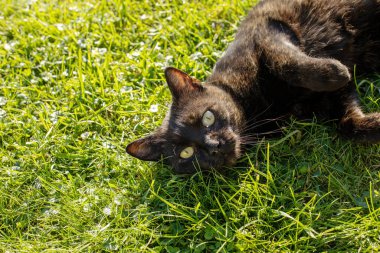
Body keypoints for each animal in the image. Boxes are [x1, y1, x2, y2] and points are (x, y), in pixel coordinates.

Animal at [127, 0, 380, 174]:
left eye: (208, 117)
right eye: (186, 154)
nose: (214, 147)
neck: (257, 111)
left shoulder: (266, 28)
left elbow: (286, 62)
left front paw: (336, 71)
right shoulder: (328, 99)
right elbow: (348, 124)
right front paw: (375, 124)